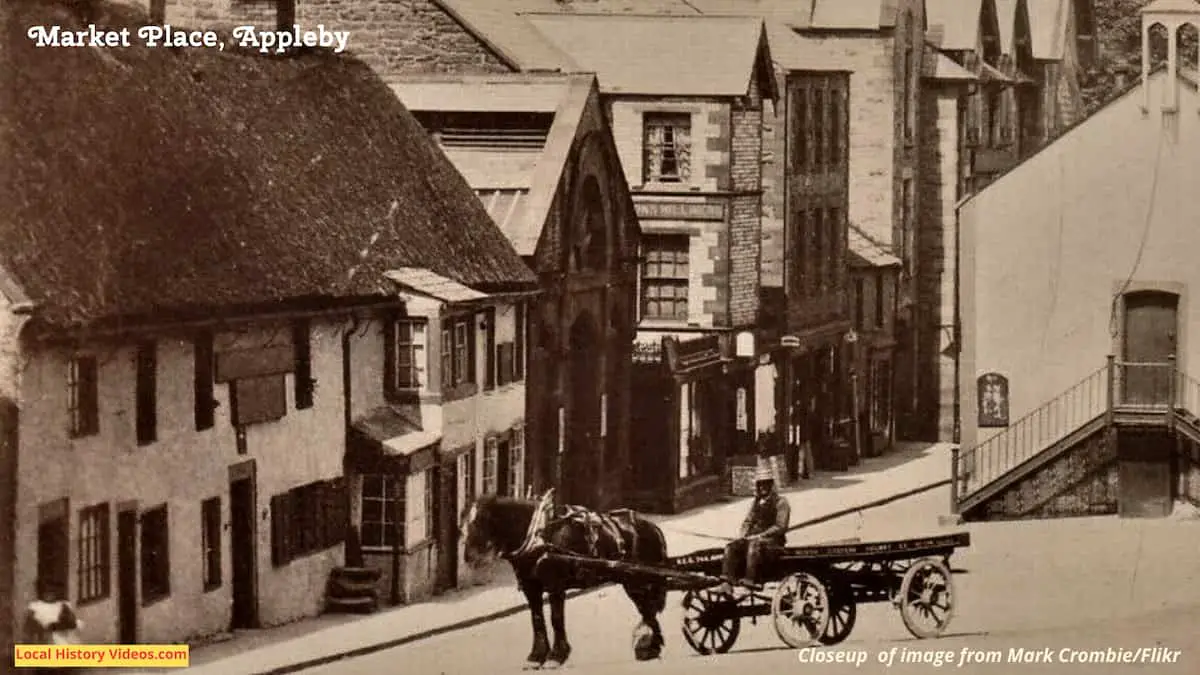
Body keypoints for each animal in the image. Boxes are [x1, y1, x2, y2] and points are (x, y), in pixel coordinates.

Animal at [458, 487, 672, 667]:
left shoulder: (555, 586)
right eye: (464, 523)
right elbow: (537, 619)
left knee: (647, 609)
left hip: (637, 582)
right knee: (648, 610)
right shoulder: (531, 588)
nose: (468, 557)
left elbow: (556, 618)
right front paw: (536, 656)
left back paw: (652, 646)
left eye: (481, 522)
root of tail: (651, 527)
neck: (539, 535)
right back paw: (651, 645)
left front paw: (556, 655)